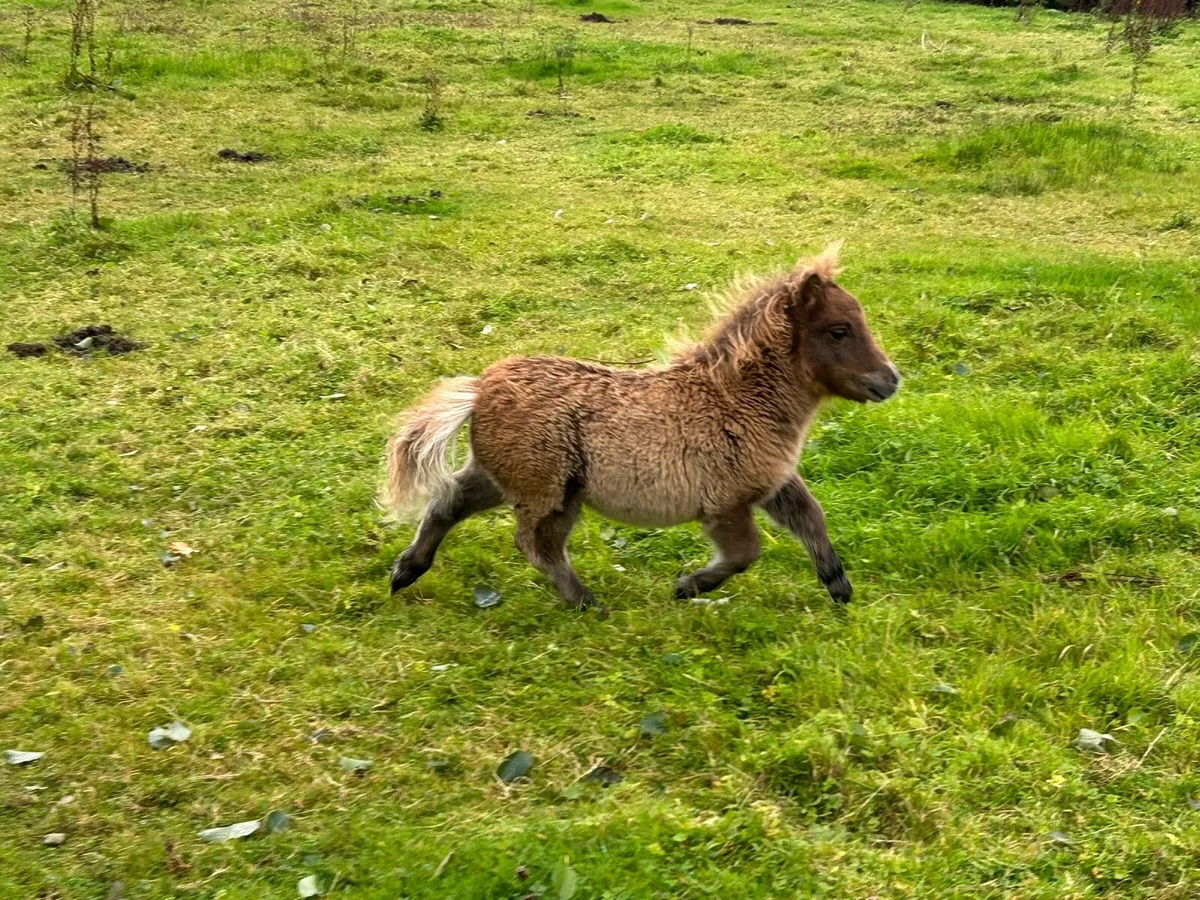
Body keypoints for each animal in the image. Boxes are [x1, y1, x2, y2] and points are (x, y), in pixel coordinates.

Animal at [382, 243, 899, 613]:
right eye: (838, 330)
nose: (890, 380)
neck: (734, 401)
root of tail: (480, 388)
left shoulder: (772, 482)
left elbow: (811, 517)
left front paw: (838, 584)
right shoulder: (724, 504)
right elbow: (744, 553)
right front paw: (688, 586)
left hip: (506, 477)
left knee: (447, 504)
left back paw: (406, 571)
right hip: (550, 491)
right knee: (534, 543)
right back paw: (588, 604)